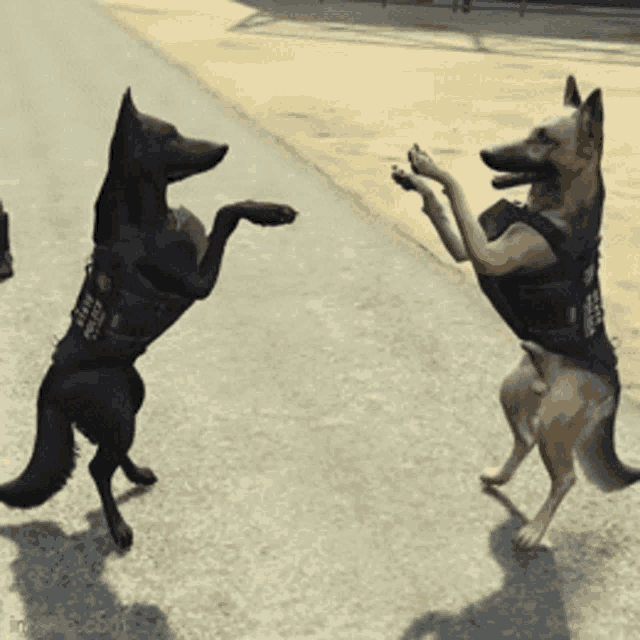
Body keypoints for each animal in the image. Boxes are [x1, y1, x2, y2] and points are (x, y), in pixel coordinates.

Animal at [0, 90, 298, 552]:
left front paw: (271, 209)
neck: (145, 218)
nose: (223, 146)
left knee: (106, 453)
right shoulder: (199, 282)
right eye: (172, 136)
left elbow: (230, 208)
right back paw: (118, 527)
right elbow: (225, 212)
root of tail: (49, 385)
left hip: (131, 397)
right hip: (120, 411)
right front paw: (269, 213)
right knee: (96, 469)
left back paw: (137, 474)